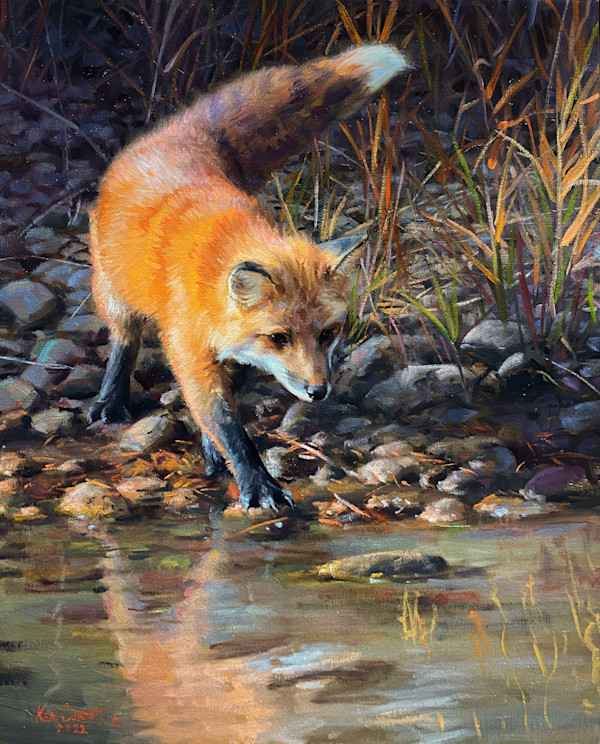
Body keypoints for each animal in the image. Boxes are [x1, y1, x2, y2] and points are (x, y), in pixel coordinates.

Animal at [88, 44, 409, 510]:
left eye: (327, 334)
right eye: (279, 337)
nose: (318, 392)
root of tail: (178, 135)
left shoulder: (232, 354)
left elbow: (223, 413)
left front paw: (214, 454)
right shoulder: (189, 353)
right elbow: (226, 425)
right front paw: (257, 484)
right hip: (112, 289)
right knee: (123, 338)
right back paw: (110, 399)